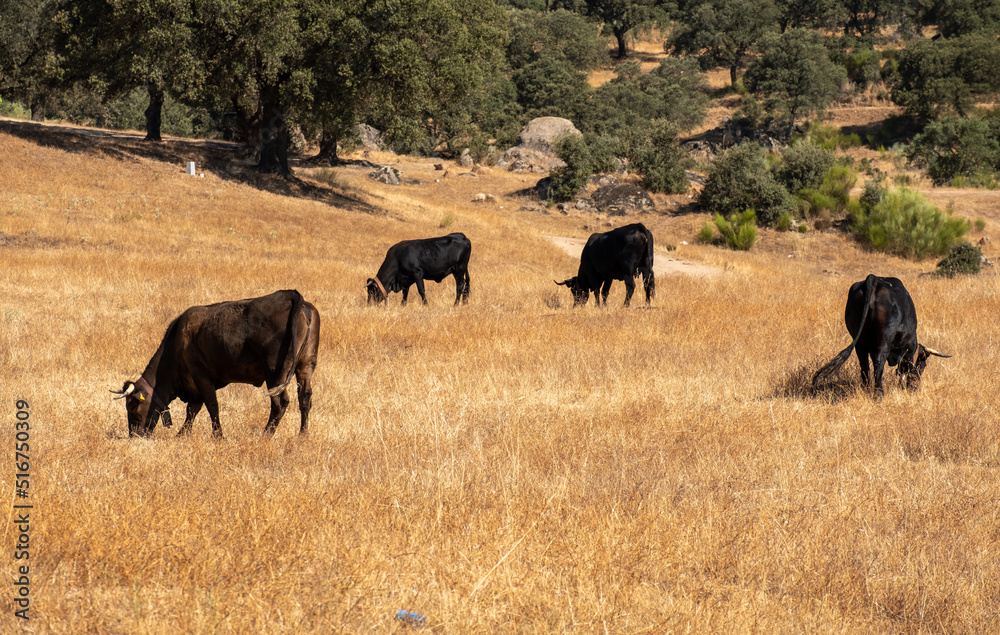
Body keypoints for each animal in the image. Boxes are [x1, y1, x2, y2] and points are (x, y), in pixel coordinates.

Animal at [112, 292, 320, 438]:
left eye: (132, 406)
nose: (134, 435)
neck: (178, 340)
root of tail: (291, 296)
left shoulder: (201, 376)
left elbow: (210, 405)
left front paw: (218, 435)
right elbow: (193, 410)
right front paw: (182, 434)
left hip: (275, 373)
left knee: (279, 403)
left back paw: (265, 435)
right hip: (305, 366)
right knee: (305, 398)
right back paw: (303, 435)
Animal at [808, 276, 948, 396]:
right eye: (922, 365)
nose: (915, 388)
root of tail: (874, 279)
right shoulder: (909, 349)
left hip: (860, 343)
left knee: (864, 366)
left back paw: (868, 391)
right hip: (883, 341)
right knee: (878, 364)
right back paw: (879, 394)